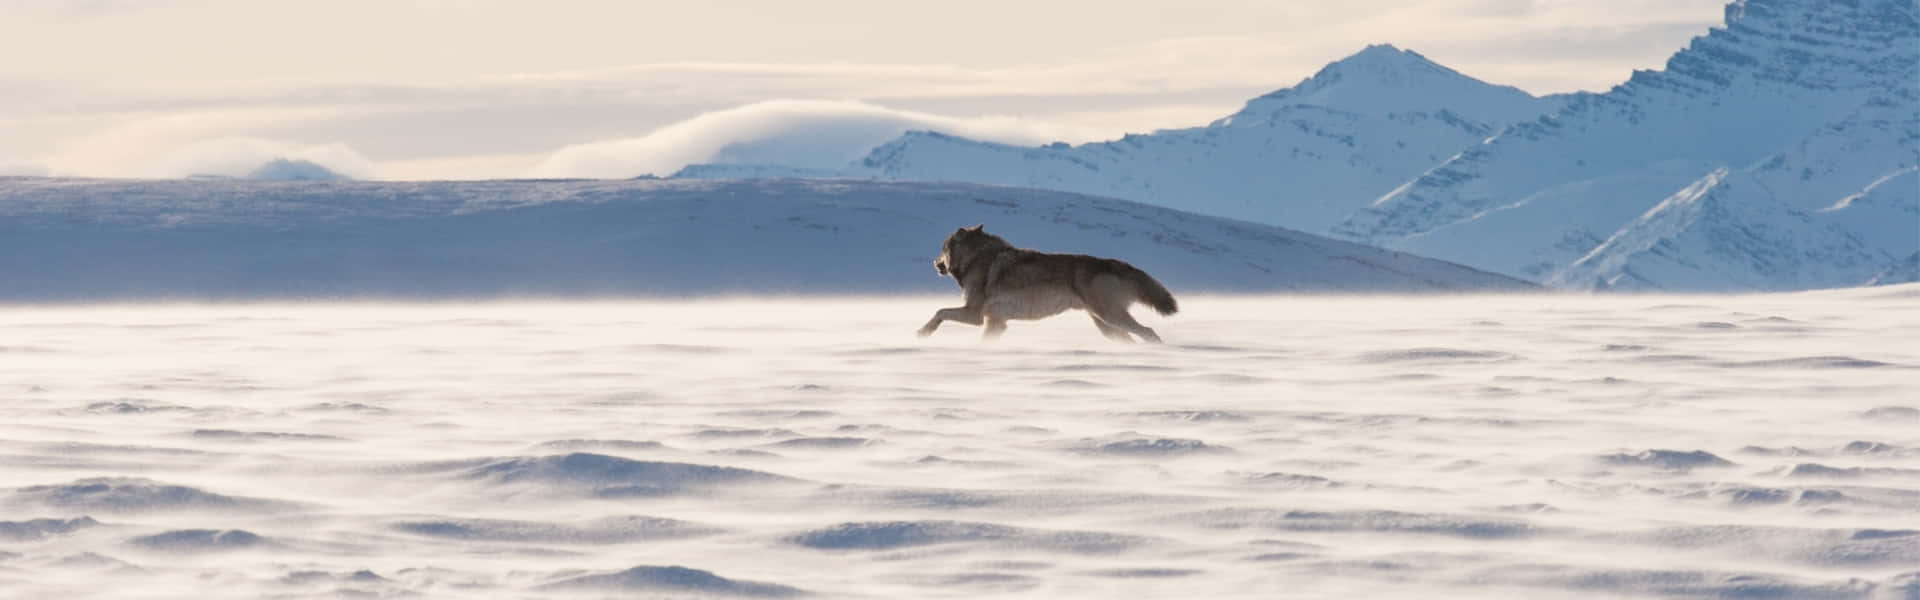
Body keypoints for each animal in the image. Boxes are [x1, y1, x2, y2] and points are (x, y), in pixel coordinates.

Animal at [917, 224, 1178, 343]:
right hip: (1106, 325)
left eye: (942, 249)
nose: (934, 263)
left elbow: (940, 311)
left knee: (1149, 332)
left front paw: (923, 332)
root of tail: (1114, 263)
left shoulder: (975, 314)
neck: (977, 258)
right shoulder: (995, 322)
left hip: (1111, 318)